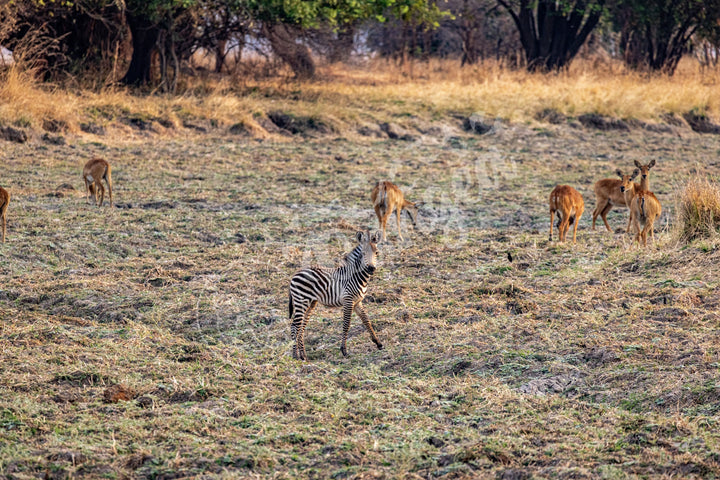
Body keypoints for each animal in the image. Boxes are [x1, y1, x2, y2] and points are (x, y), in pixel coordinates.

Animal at [290, 230, 386, 360]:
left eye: (376, 252)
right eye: (363, 253)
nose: (371, 268)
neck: (357, 277)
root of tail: (296, 273)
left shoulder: (357, 302)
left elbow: (366, 321)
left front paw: (378, 343)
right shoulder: (348, 300)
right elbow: (346, 324)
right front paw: (344, 350)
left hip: (310, 303)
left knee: (302, 325)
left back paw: (303, 355)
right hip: (301, 301)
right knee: (295, 325)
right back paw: (295, 355)